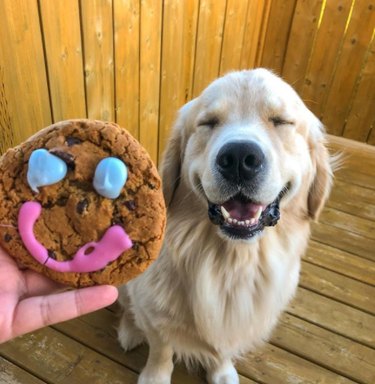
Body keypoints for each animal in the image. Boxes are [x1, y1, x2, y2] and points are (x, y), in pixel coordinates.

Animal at [117, 69, 332, 384]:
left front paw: (221, 371)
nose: (240, 158)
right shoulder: (154, 314)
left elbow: (221, 349)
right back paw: (129, 331)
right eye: (208, 122)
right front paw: (155, 375)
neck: (231, 263)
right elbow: (161, 349)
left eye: (281, 121)